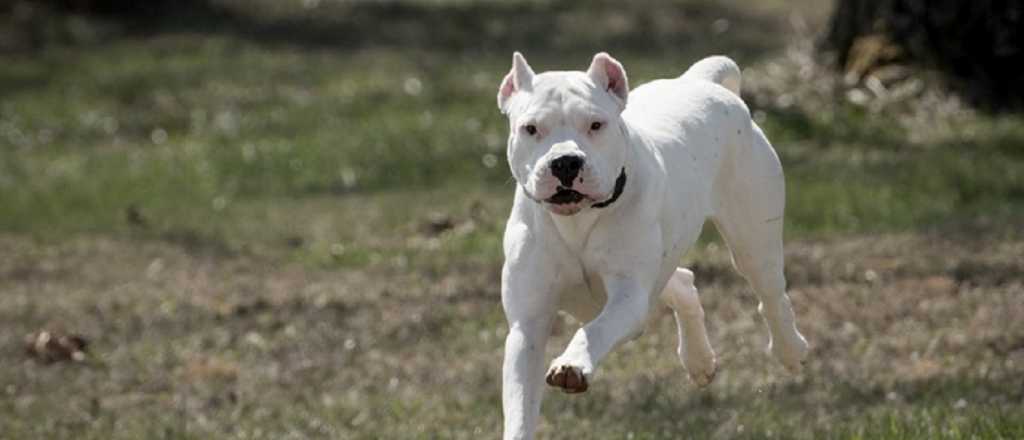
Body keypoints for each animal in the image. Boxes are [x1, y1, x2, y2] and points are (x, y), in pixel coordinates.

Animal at [495, 52, 806, 440]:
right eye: (531, 128)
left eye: (596, 125)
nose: (565, 161)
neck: (577, 220)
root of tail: (701, 81)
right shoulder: (528, 325)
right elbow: (521, 403)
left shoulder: (628, 297)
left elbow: (595, 329)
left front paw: (573, 364)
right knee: (684, 282)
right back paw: (699, 360)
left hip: (752, 240)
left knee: (772, 296)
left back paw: (790, 350)